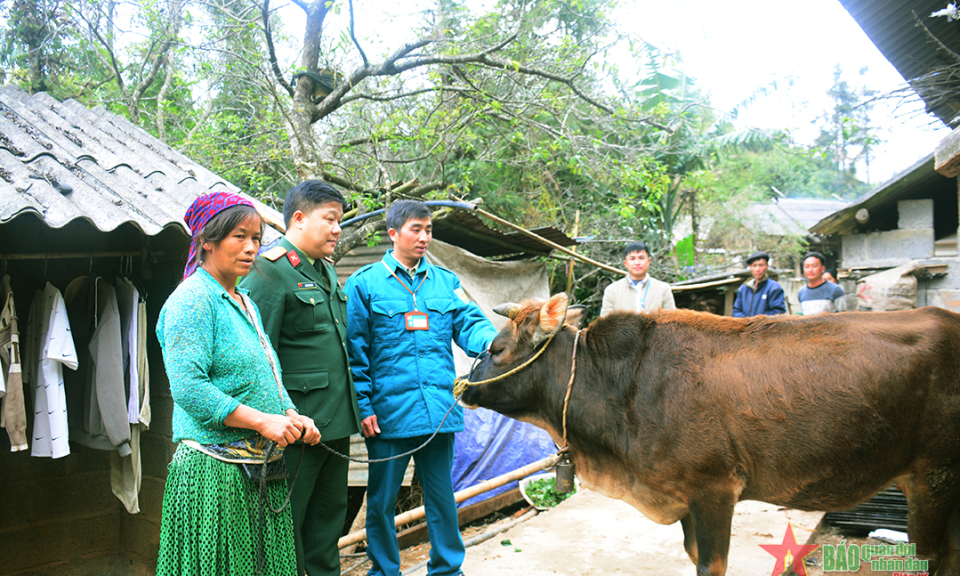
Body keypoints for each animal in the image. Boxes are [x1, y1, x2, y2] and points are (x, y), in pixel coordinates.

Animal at [458, 294, 960, 572]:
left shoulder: (715, 490)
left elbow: (710, 564)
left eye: (496, 348)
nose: (462, 386)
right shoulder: (685, 500)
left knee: (938, 554)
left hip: (935, 476)